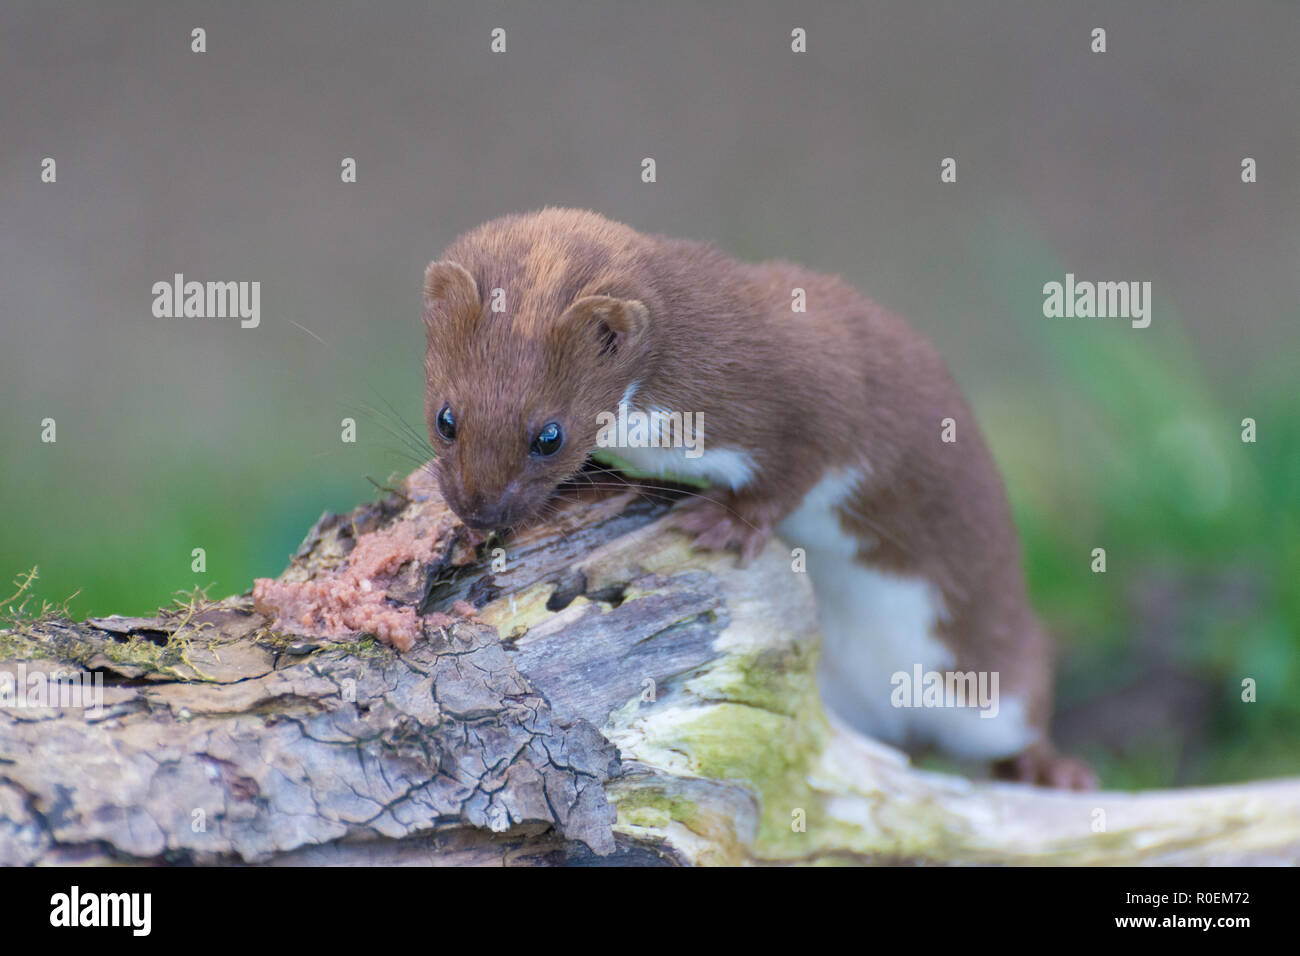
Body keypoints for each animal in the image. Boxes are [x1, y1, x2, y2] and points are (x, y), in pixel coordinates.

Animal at [423, 205, 1097, 790]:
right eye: (446, 417)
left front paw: (727, 522)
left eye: (549, 434)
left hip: (994, 664)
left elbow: (799, 467)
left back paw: (1055, 771)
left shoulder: (822, 393)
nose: (479, 509)